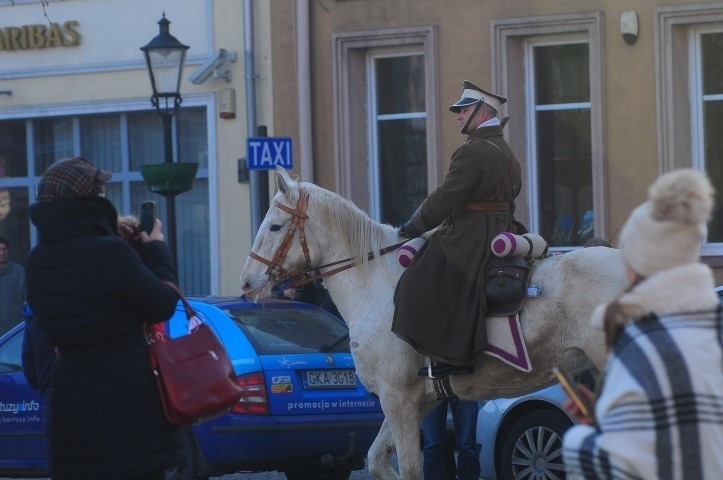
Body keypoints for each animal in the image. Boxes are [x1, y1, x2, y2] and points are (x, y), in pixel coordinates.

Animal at [242, 166, 628, 480]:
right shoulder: (413, 401)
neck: (375, 282)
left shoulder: (397, 398)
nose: (247, 283)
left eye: (275, 225)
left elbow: (411, 469)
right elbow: (377, 461)